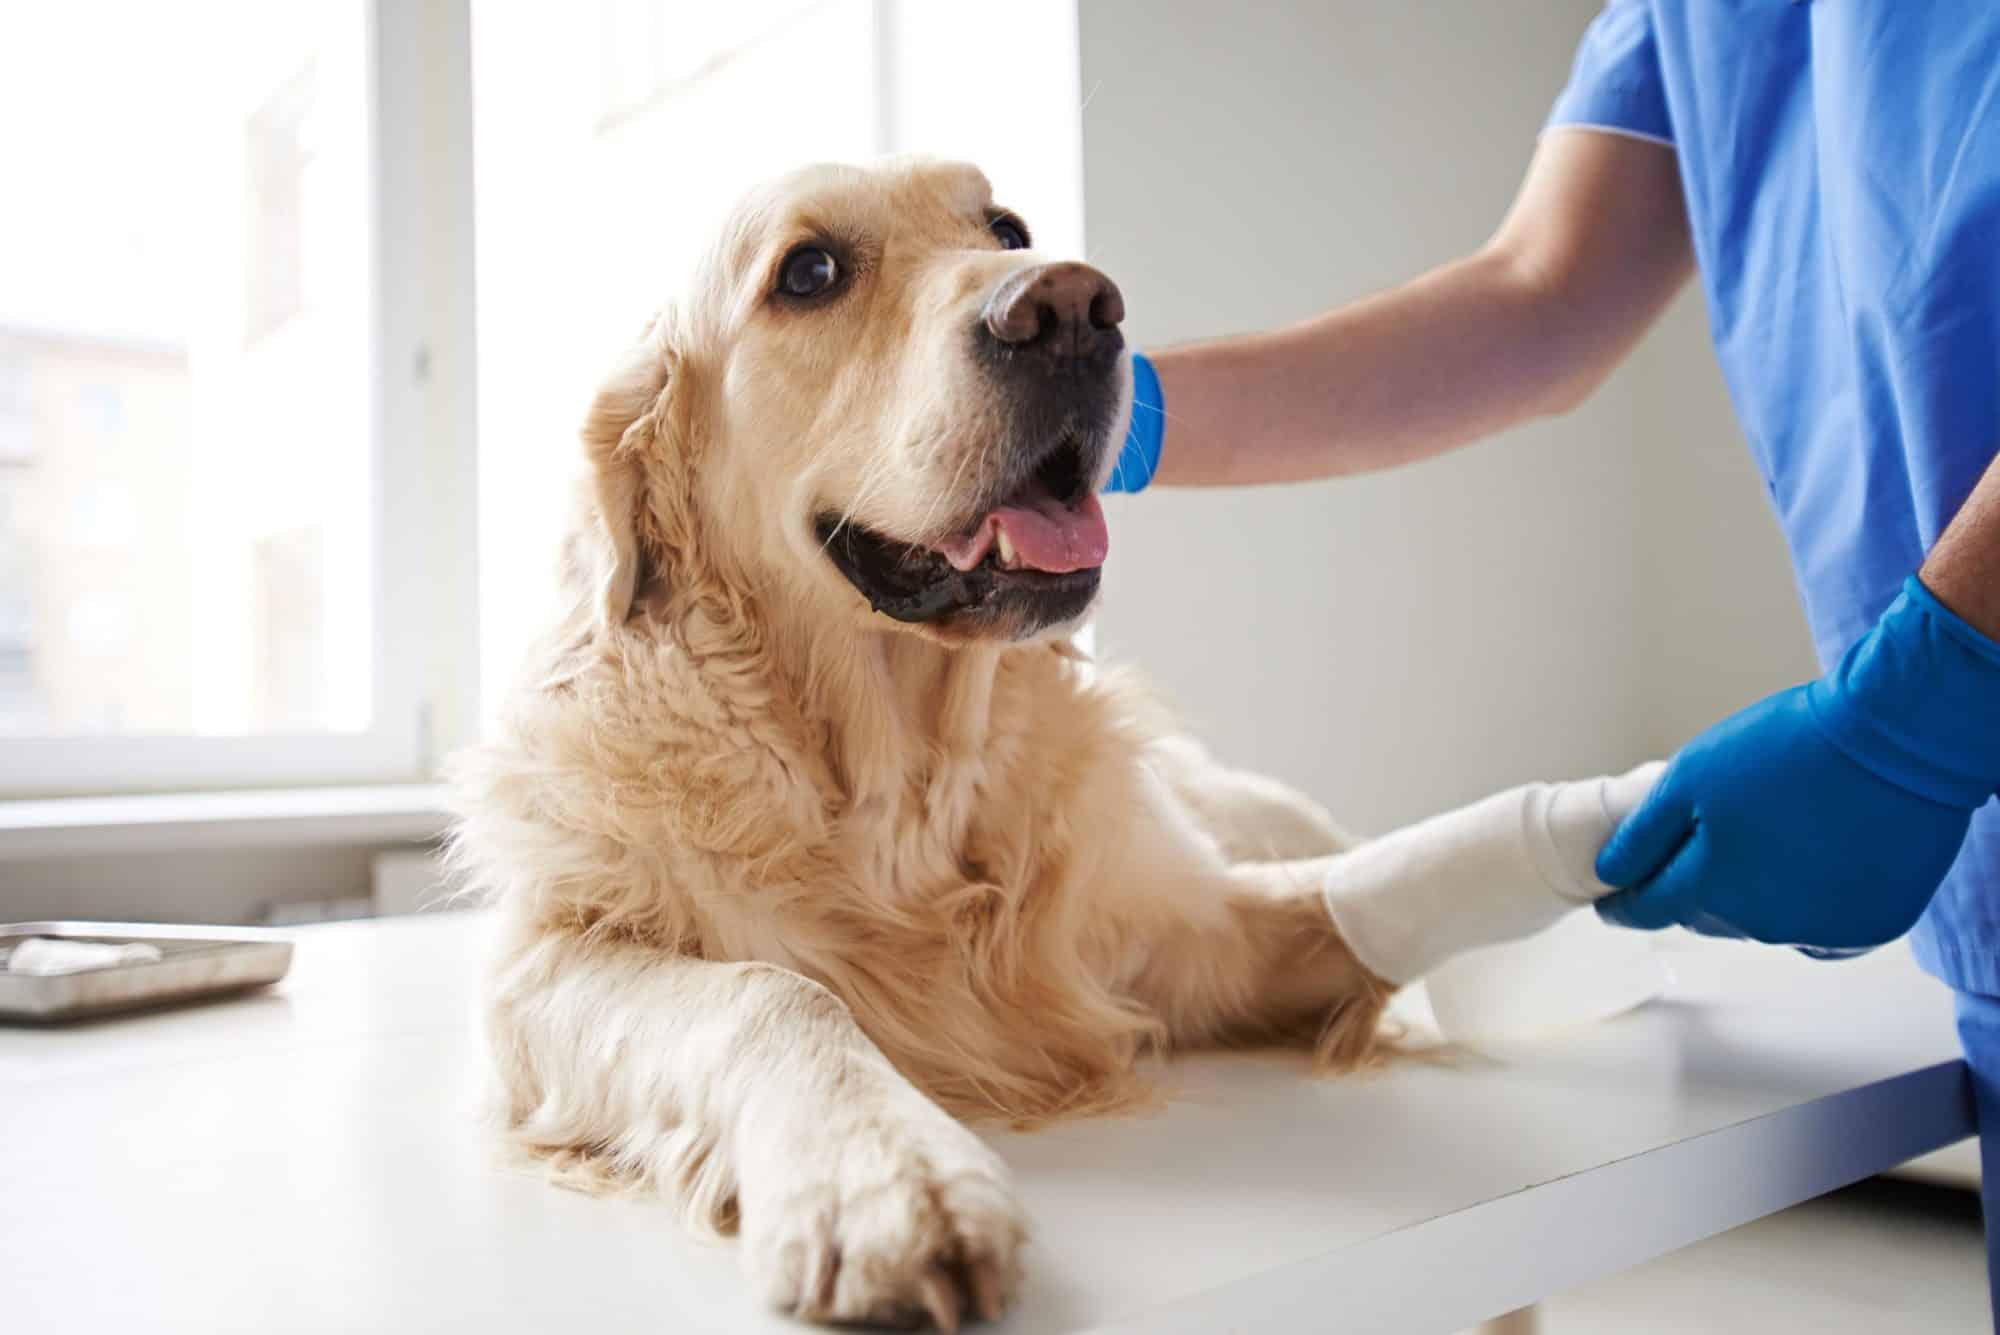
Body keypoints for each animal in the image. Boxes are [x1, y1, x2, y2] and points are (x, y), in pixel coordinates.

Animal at [454, 153, 1656, 1327]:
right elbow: (772, 991)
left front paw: (1621, 818)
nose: (1073, 308)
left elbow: (1375, 893)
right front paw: (885, 1176)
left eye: (1007, 229)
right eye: (808, 272)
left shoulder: (1194, 942)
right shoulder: (543, 965)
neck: (900, 798)